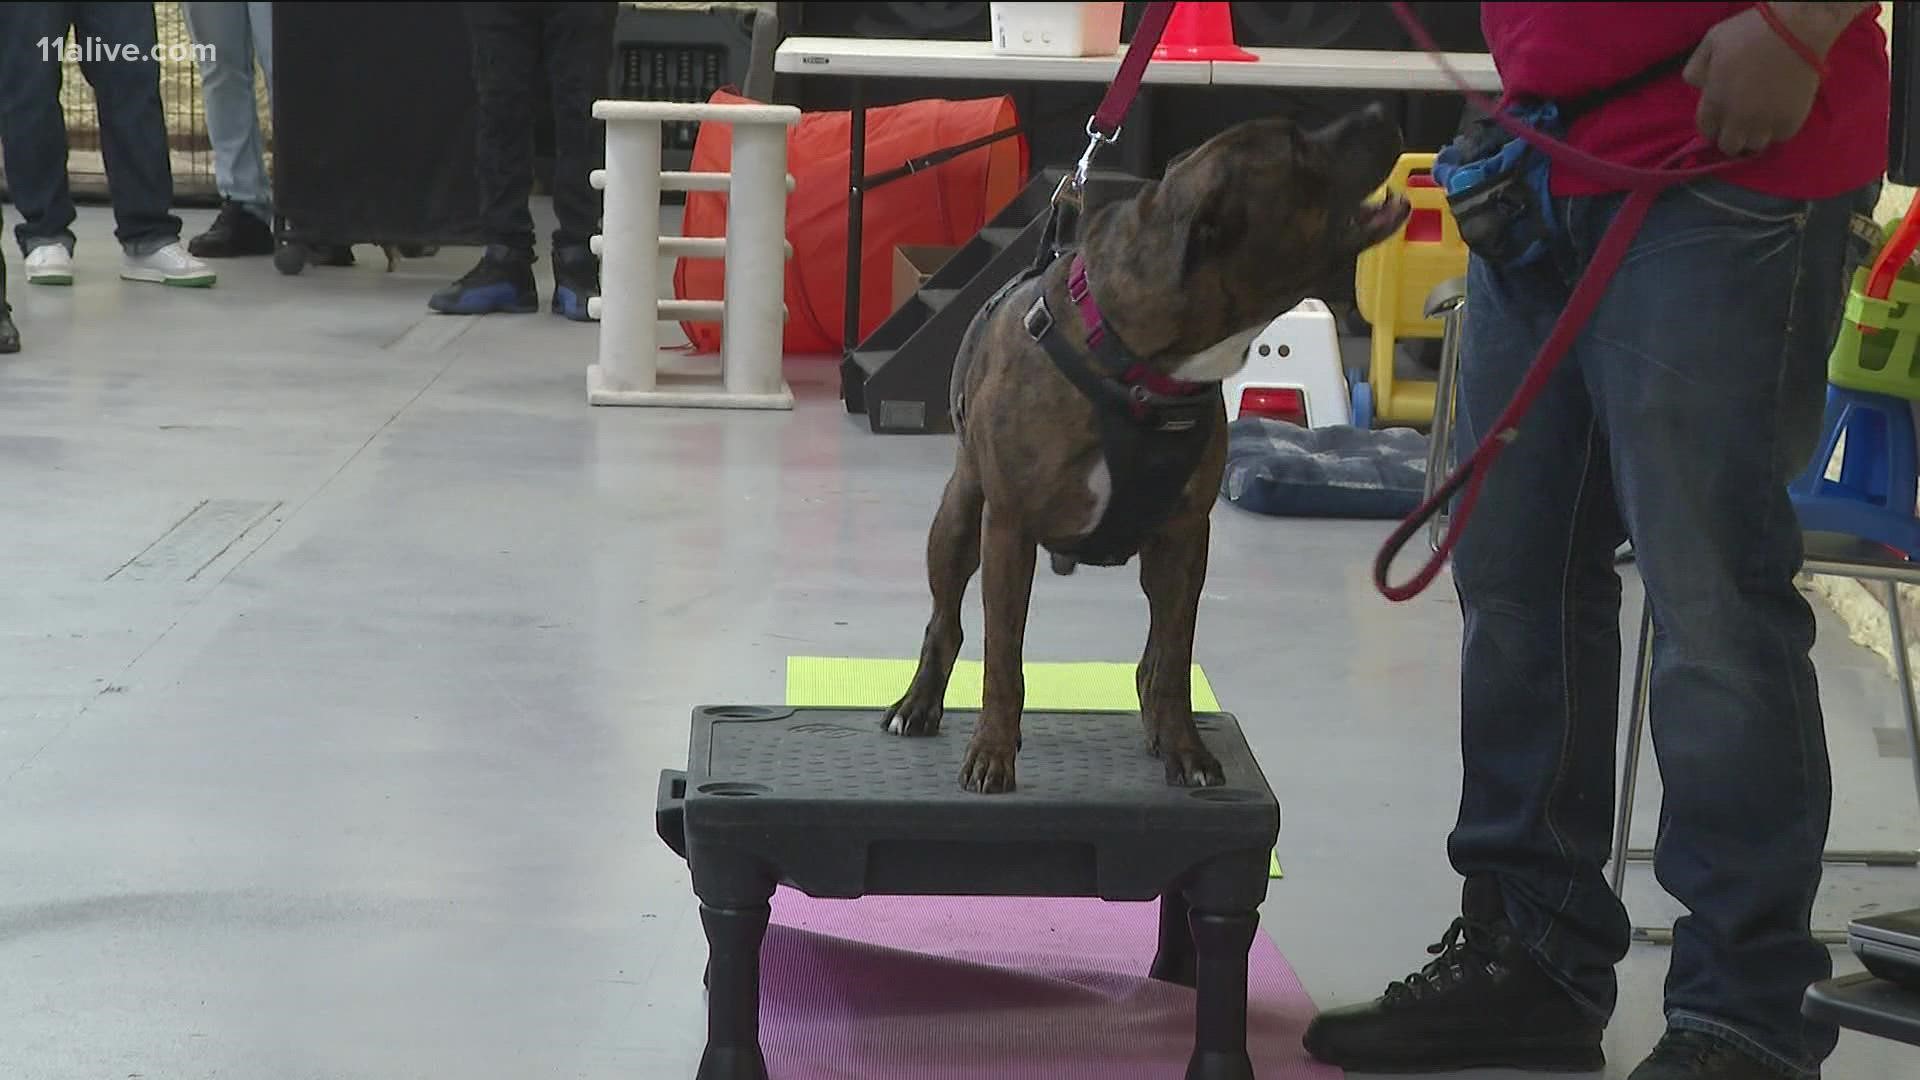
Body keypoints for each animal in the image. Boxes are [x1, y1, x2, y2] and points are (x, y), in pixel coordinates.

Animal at [887, 102, 1413, 791]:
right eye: (1298, 149)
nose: (1382, 111)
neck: (1136, 364)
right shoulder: (1008, 532)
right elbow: (1003, 659)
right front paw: (993, 750)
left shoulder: (1185, 541)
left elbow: (1174, 663)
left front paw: (1186, 748)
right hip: (957, 521)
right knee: (943, 622)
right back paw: (919, 702)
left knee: (1154, 656)